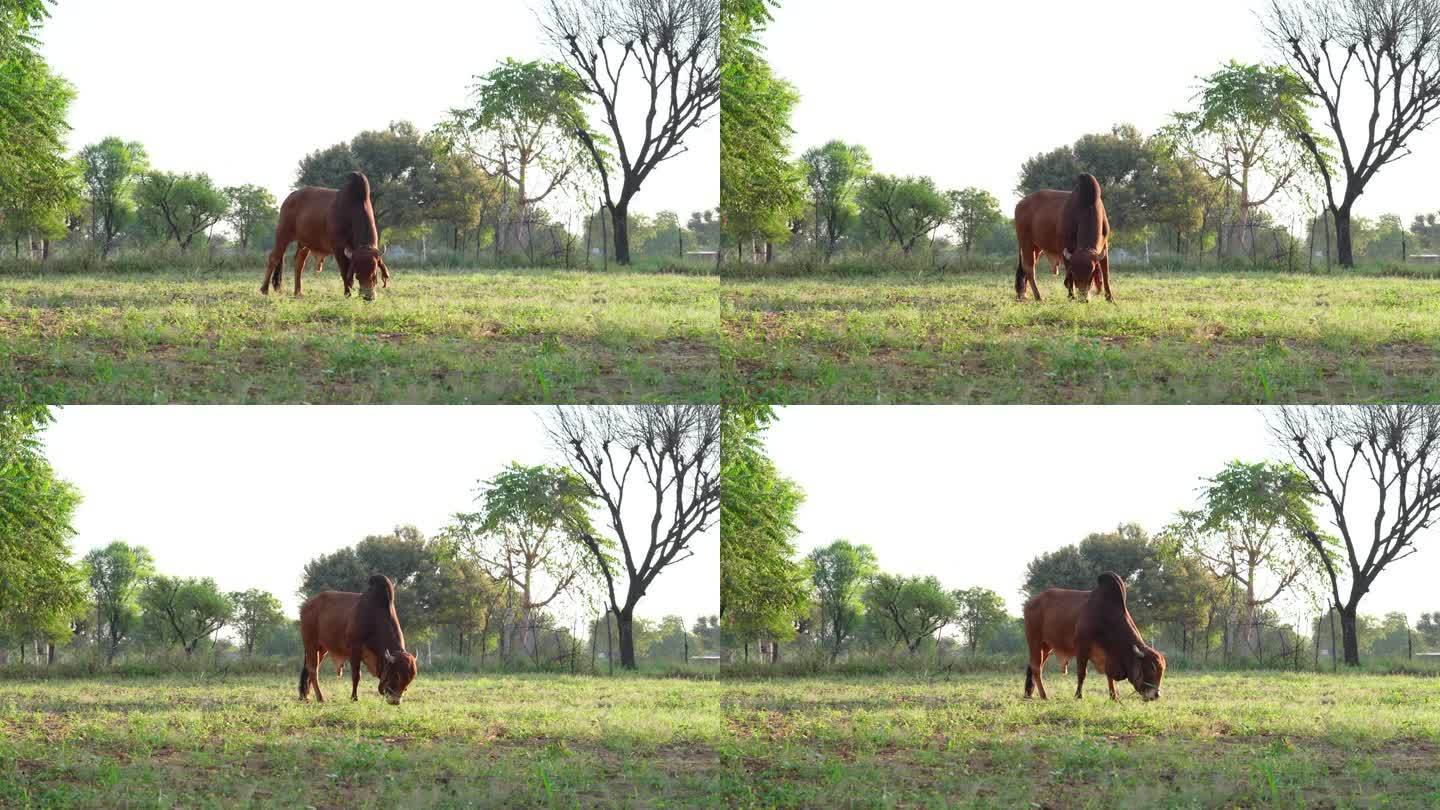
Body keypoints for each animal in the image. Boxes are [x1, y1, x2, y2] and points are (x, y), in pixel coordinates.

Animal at [262, 170, 391, 299]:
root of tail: (289, 198)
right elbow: (345, 273)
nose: (368, 297)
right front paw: (347, 294)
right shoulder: (338, 248)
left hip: (304, 243)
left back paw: (298, 292)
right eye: (358, 274)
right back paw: (264, 290)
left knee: (299, 263)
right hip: (282, 233)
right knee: (274, 258)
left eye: (374, 273)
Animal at [1013, 171, 1111, 301]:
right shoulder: (1065, 247)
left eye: (1092, 272)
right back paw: (1038, 297)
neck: (1086, 207)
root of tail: (1020, 204)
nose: (1083, 298)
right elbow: (1068, 275)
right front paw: (1071, 296)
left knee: (1025, 268)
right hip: (1026, 243)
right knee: (1029, 269)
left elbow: (1105, 273)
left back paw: (1022, 295)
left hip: (1036, 248)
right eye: (1075, 273)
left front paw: (1110, 298)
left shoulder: (1104, 246)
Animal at [1019, 570, 1163, 697]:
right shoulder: (1082, 647)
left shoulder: (1108, 656)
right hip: (1034, 641)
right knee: (1036, 668)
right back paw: (1044, 696)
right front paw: (1078, 696)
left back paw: (1030, 694)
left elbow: (1109, 676)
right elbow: (1082, 674)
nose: (1156, 695)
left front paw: (1114, 697)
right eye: (1151, 669)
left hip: (1047, 646)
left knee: (1036, 667)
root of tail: (1030, 603)